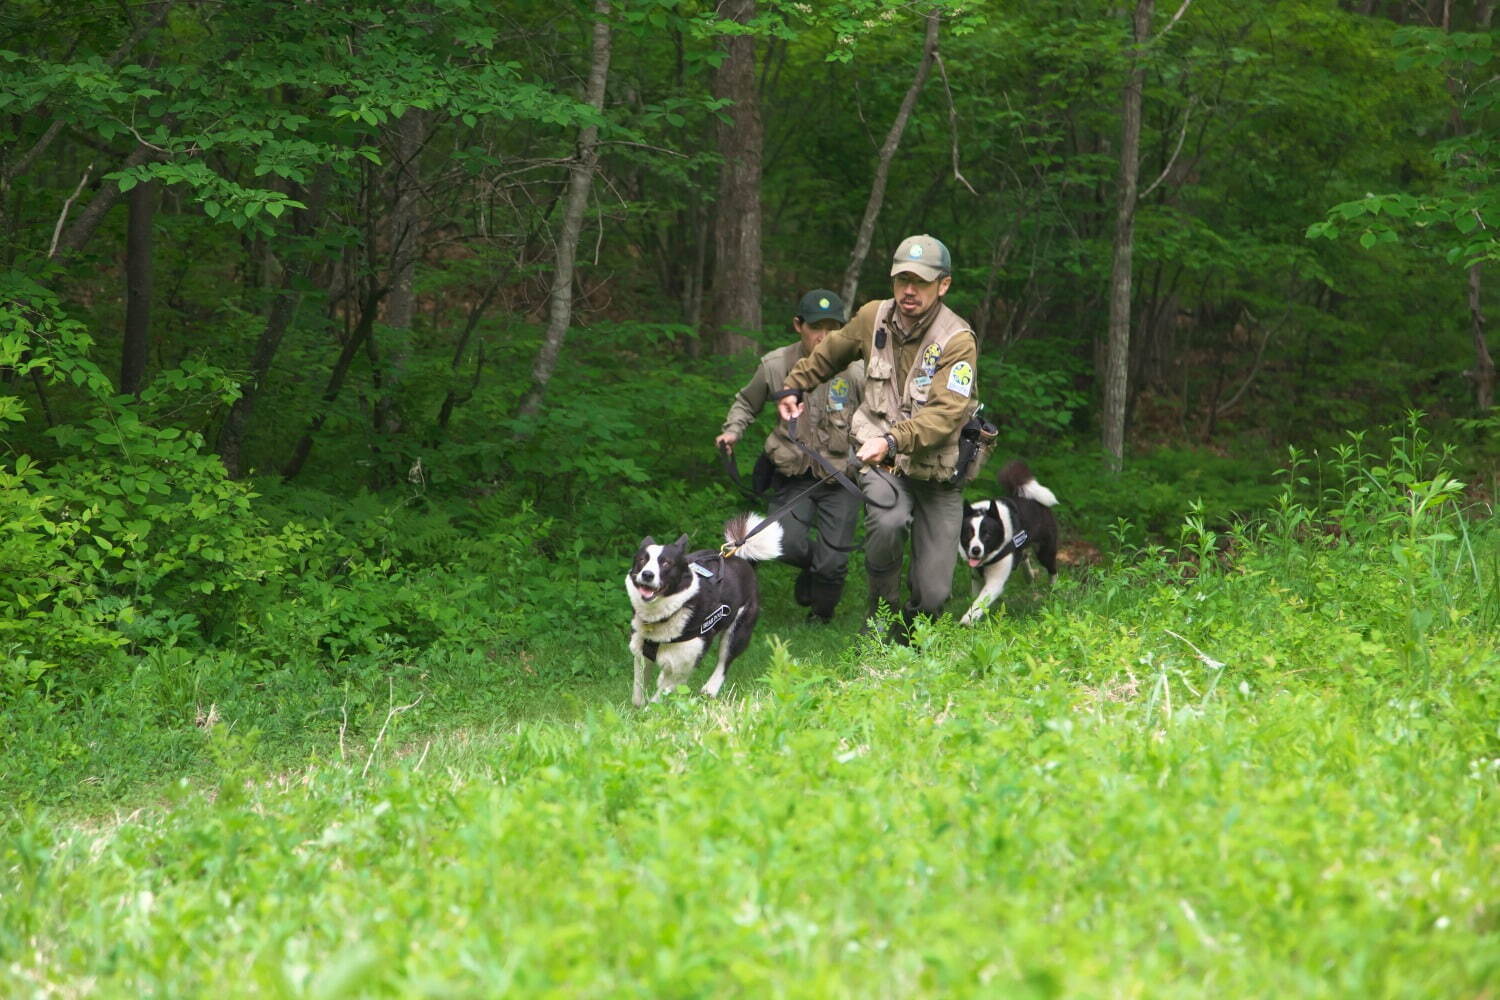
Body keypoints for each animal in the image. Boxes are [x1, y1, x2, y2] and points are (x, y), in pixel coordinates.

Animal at [624, 512, 786, 707]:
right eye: (642, 560)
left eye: (666, 563)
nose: (647, 574)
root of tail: (744, 561)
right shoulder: (641, 651)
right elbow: (638, 693)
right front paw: (639, 705)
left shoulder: (687, 660)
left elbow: (661, 696)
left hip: (738, 630)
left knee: (725, 660)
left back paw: (710, 688)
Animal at [954, 461, 1062, 626]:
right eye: (969, 533)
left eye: (987, 534)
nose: (975, 550)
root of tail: (1030, 498)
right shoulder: (976, 576)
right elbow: (975, 597)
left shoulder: (995, 581)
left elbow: (980, 601)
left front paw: (967, 620)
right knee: (1024, 556)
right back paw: (1029, 576)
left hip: (1045, 551)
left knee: (1052, 569)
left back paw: (1053, 589)